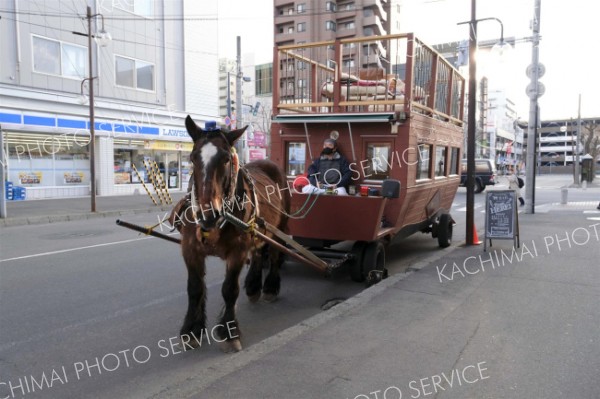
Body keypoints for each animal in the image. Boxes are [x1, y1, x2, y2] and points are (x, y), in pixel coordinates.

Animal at [171, 115, 290, 354]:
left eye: (226, 159)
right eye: (193, 158)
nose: (208, 213)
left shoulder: (237, 251)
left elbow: (229, 289)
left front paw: (229, 332)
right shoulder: (190, 249)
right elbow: (195, 288)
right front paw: (191, 330)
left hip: (278, 230)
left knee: (273, 256)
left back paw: (270, 287)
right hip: (257, 232)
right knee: (257, 252)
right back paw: (253, 286)